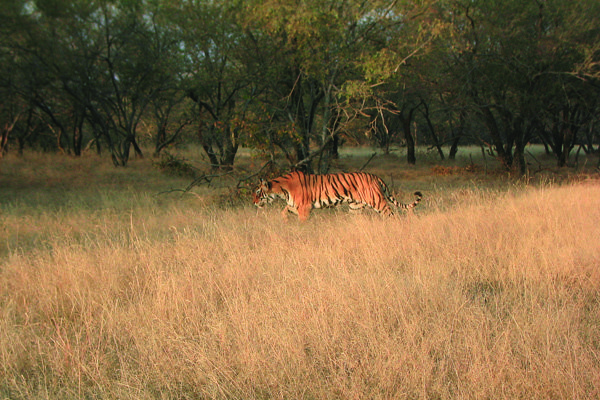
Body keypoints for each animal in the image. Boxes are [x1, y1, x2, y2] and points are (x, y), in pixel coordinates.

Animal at [253, 170, 422, 222]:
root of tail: (375, 176)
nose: (253, 202)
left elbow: (302, 223)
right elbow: (284, 211)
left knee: (392, 215)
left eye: (257, 193)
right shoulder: (295, 206)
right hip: (355, 207)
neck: (281, 190)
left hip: (378, 202)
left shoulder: (304, 208)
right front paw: (285, 221)